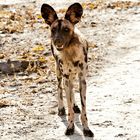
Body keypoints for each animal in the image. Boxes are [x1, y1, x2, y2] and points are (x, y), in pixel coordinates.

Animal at [41, 2, 93, 137]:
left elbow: (84, 110)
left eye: (66, 30)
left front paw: (86, 129)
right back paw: (61, 109)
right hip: (59, 74)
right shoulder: (66, 78)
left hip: (72, 76)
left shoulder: (82, 80)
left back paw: (75, 106)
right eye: (53, 30)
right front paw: (70, 127)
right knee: (59, 88)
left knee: (72, 89)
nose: (57, 41)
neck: (70, 53)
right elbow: (69, 108)